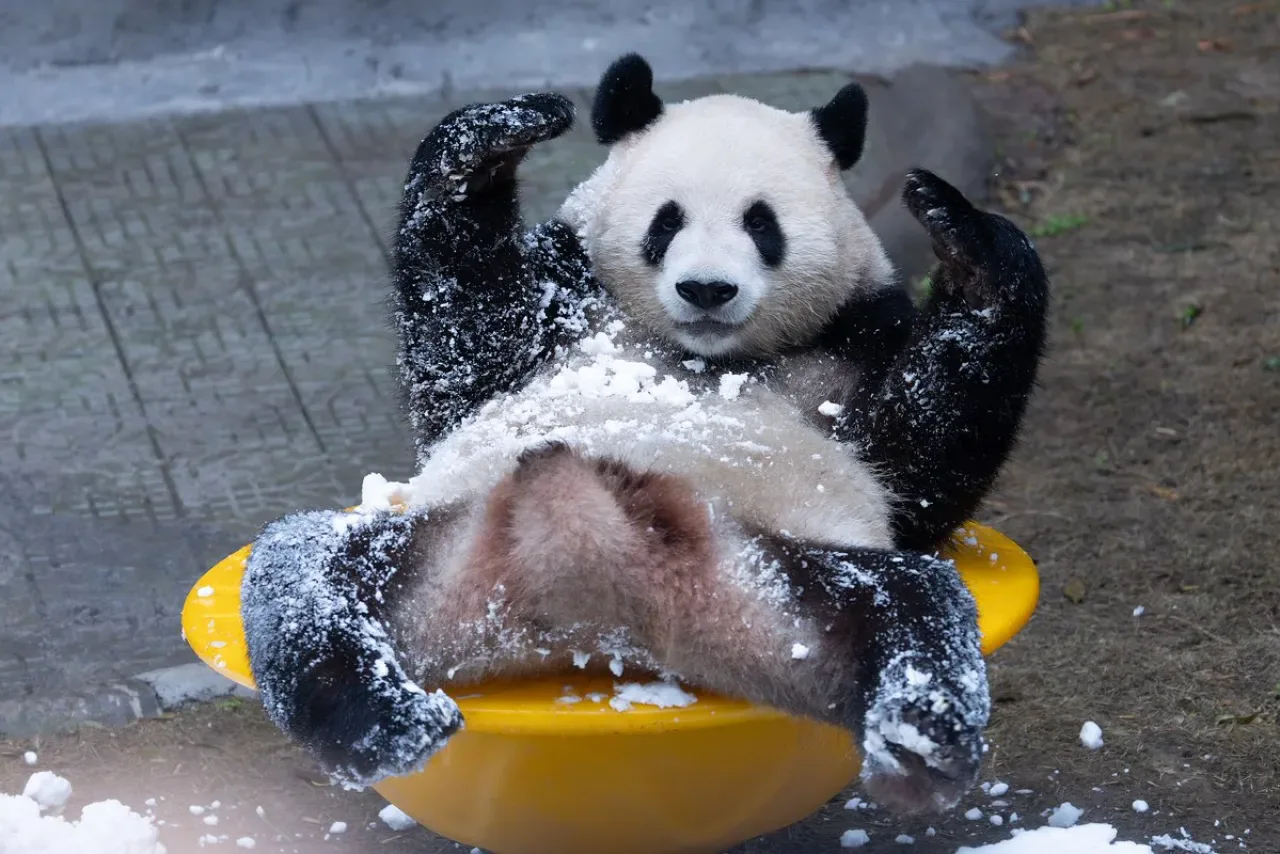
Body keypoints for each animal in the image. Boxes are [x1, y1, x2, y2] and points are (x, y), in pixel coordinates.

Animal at [241, 53, 1049, 816]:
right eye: (667, 220)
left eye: (762, 223)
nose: (707, 290)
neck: (702, 353)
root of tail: (593, 607)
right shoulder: (559, 305)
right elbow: (462, 346)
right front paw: (503, 132)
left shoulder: (857, 335)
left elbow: (916, 459)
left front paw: (961, 233)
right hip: (426, 549)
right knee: (304, 585)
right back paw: (388, 720)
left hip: (788, 575)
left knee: (909, 608)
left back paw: (920, 738)